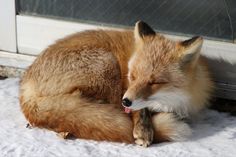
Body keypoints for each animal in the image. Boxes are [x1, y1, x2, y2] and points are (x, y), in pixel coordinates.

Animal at [18, 20, 214, 147]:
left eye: (154, 82)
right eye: (132, 76)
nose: (125, 101)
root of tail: (25, 84)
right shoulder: (124, 87)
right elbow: (139, 110)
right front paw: (143, 129)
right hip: (107, 65)